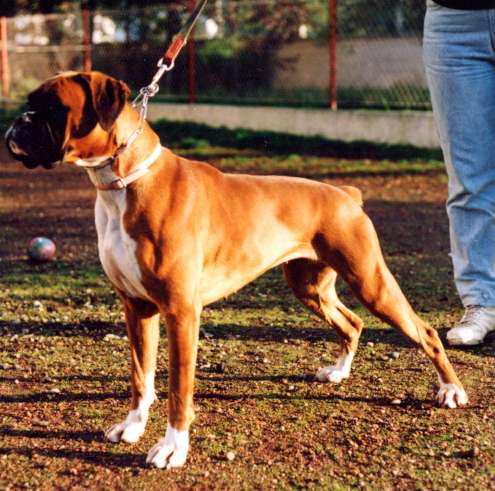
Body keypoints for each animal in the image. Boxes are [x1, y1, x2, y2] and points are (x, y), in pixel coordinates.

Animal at [5, 71, 468, 469]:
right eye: (31, 105)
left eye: (53, 108)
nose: (18, 122)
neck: (123, 183)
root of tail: (345, 193)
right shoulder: (136, 308)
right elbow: (141, 376)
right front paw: (133, 426)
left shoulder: (181, 313)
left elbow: (178, 389)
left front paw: (172, 448)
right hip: (310, 287)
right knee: (352, 323)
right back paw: (338, 372)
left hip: (370, 281)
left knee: (425, 331)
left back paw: (451, 390)